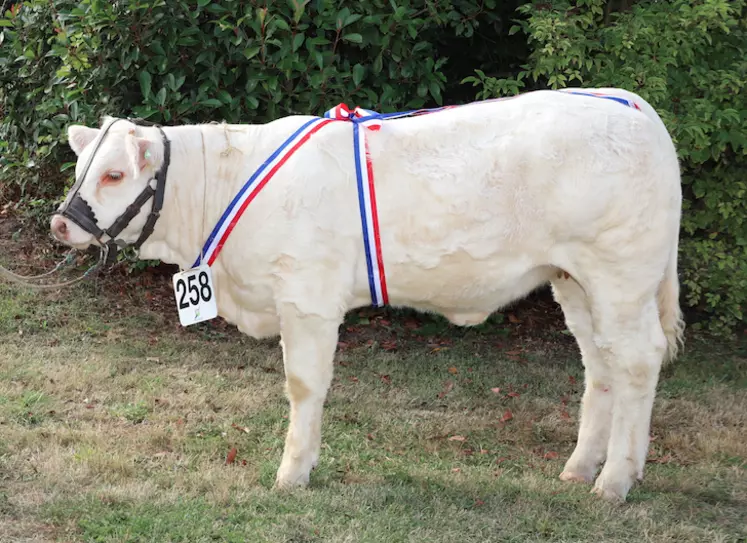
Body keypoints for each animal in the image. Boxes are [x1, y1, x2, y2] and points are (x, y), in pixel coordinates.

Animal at [51, 88, 684, 502]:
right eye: (80, 169)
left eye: (114, 175)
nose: (60, 224)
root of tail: (632, 105)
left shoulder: (307, 297)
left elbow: (304, 386)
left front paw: (292, 473)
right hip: (573, 280)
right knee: (599, 364)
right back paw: (580, 468)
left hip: (620, 276)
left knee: (637, 360)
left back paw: (616, 480)